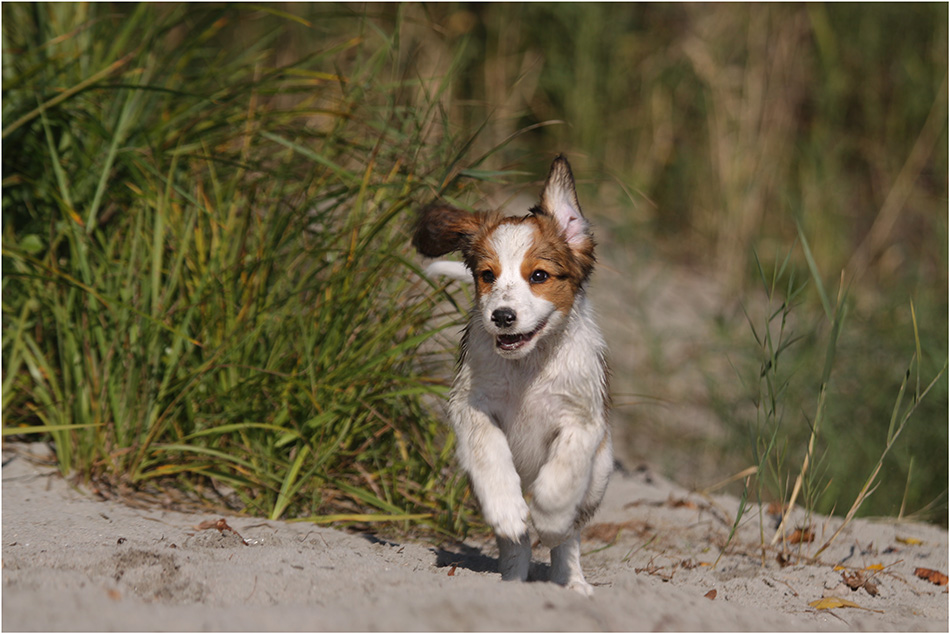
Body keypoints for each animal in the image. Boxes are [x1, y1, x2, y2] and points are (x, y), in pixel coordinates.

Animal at [412, 153, 612, 592]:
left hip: (599, 474)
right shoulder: (471, 407)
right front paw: (507, 508)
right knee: (515, 543)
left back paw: (571, 581)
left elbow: (562, 476)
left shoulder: (582, 419)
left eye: (538, 276)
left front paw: (550, 518)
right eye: (487, 275)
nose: (502, 317)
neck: (527, 367)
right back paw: (512, 579)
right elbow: (490, 454)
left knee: (571, 537)